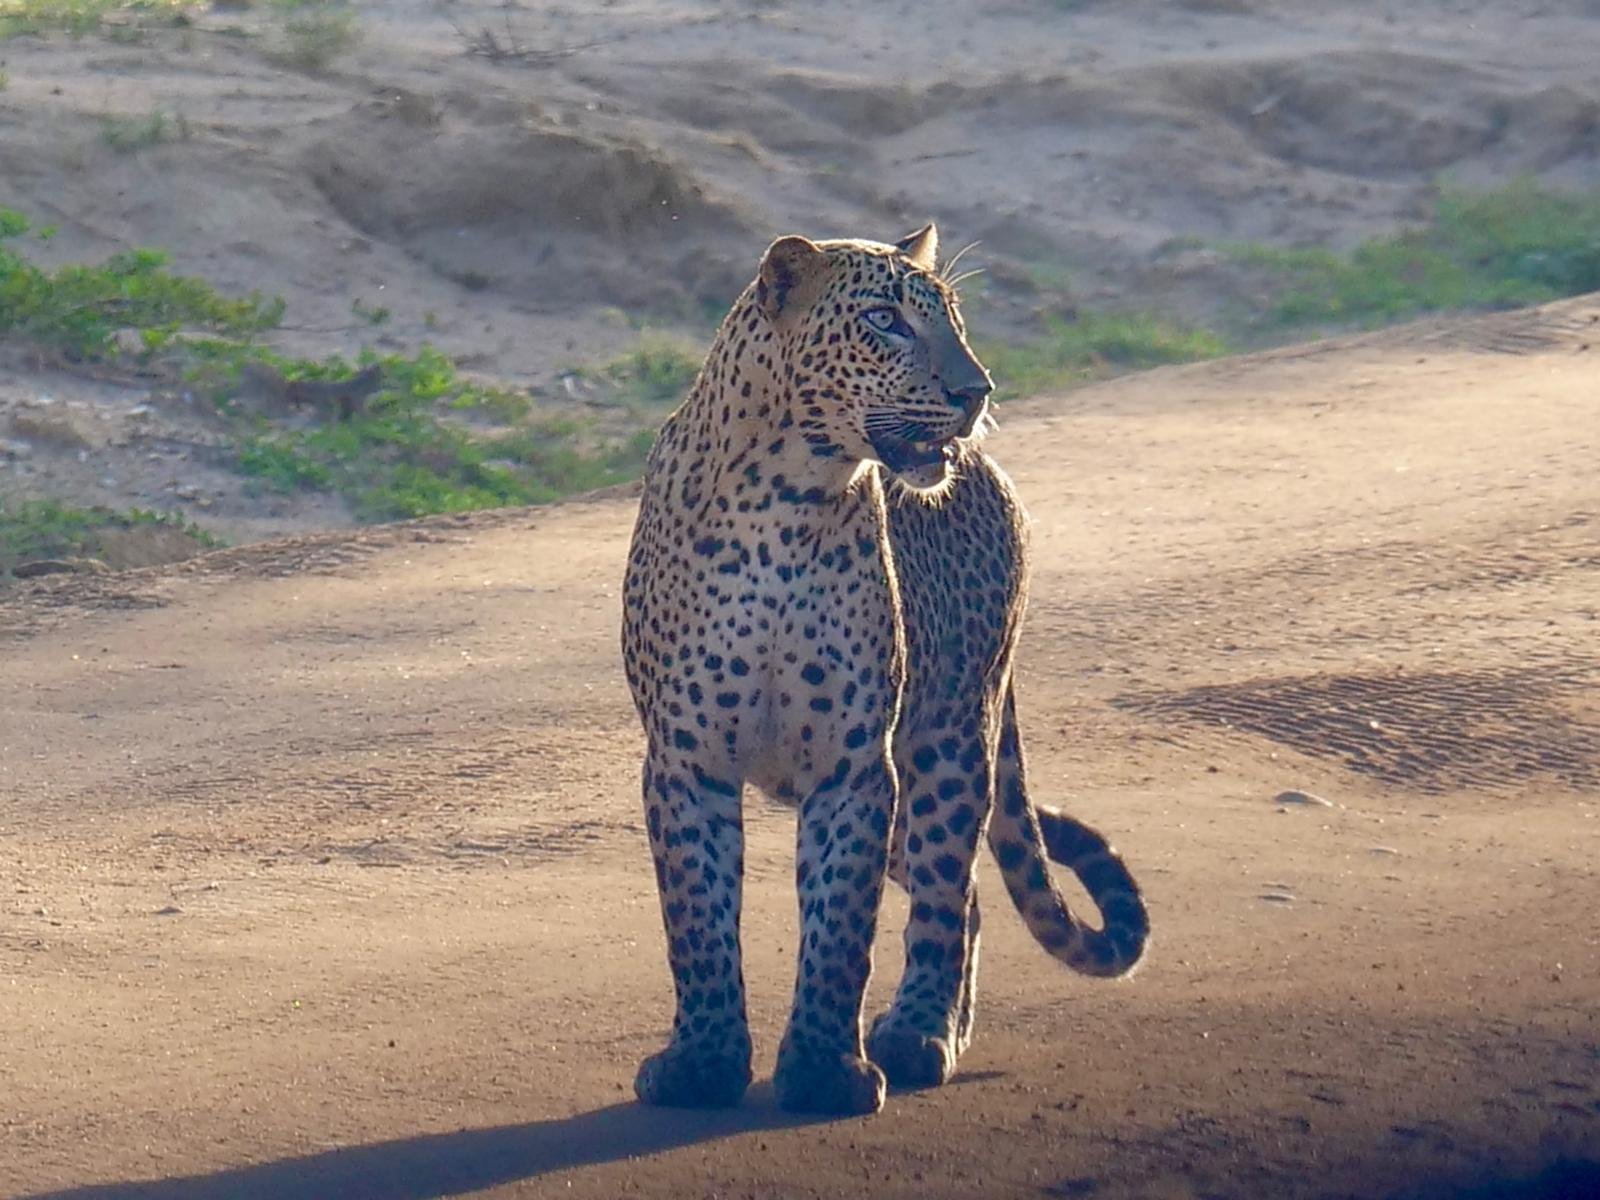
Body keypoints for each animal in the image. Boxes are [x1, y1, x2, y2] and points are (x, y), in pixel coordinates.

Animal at [620, 224, 1147, 1117]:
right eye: (884, 322)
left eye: (952, 320)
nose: (976, 390)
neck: (783, 504)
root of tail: (987, 472)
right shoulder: (686, 761)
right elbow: (697, 918)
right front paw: (702, 1064)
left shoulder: (855, 766)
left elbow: (841, 923)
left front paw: (825, 1071)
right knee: (969, 892)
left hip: (949, 740)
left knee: (947, 886)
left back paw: (918, 1035)